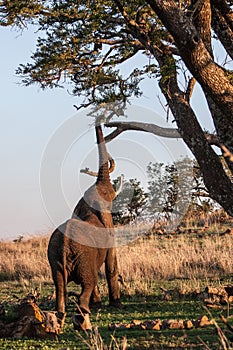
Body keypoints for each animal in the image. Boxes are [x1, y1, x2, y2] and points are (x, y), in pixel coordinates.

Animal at [48, 120, 123, 328]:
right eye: (109, 194)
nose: (100, 120)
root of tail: (65, 245)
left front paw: (99, 304)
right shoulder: (110, 229)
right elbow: (111, 263)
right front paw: (116, 304)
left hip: (55, 261)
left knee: (60, 289)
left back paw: (60, 320)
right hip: (82, 257)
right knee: (87, 284)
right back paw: (84, 321)